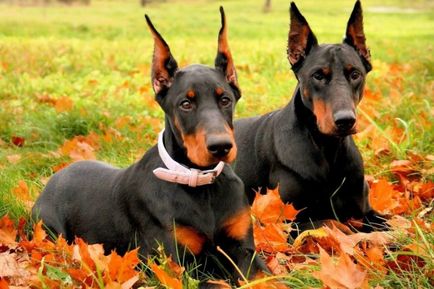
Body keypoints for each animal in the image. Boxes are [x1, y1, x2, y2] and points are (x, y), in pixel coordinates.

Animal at [32, 7, 266, 286]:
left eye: (225, 99)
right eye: (185, 104)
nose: (220, 147)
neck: (201, 184)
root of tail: (56, 175)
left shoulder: (244, 249)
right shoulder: (177, 265)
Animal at [236, 1, 384, 232]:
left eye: (355, 74)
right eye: (318, 75)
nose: (345, 120)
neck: (328, 147)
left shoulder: (365, 208)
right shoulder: (289, 221)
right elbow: (334, 223)